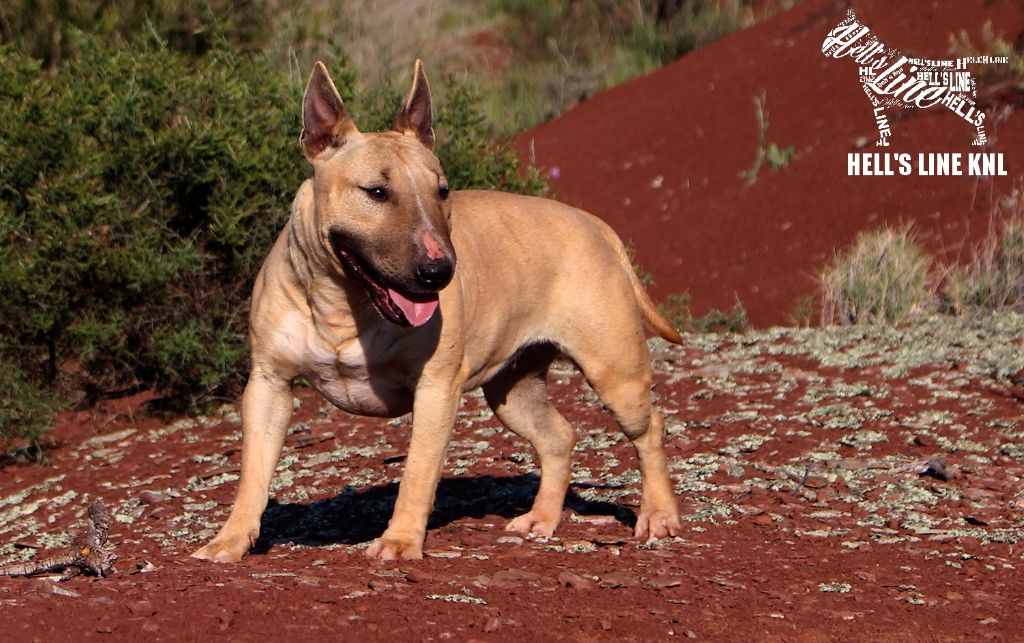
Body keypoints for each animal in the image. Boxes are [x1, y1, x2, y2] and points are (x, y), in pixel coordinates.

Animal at [191, 60, 683, 562]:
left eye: (442, 190)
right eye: (376, 191)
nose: (440, 271)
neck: (343, 303)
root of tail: (595, 224)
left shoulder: (435, 388)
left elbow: (417, 472)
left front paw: (399, 541)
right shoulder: (268, 383)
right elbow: (252, 473)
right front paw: (228, 541)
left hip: (615, 372)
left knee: (651, 429)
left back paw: (658, 515)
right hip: (513, 388)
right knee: (558, 436)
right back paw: (541, 519)